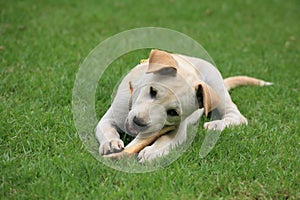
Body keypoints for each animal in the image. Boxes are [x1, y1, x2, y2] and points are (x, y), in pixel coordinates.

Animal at [95, 49, 272, 162]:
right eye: (153, 91)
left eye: (173, 112)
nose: (138, 122)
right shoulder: (110, 117)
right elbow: (106, 129)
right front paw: (110, 144)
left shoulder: (179, 131)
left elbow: (165, 140)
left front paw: (151, 151)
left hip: (216, 86)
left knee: (237, 115)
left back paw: (216, 124)